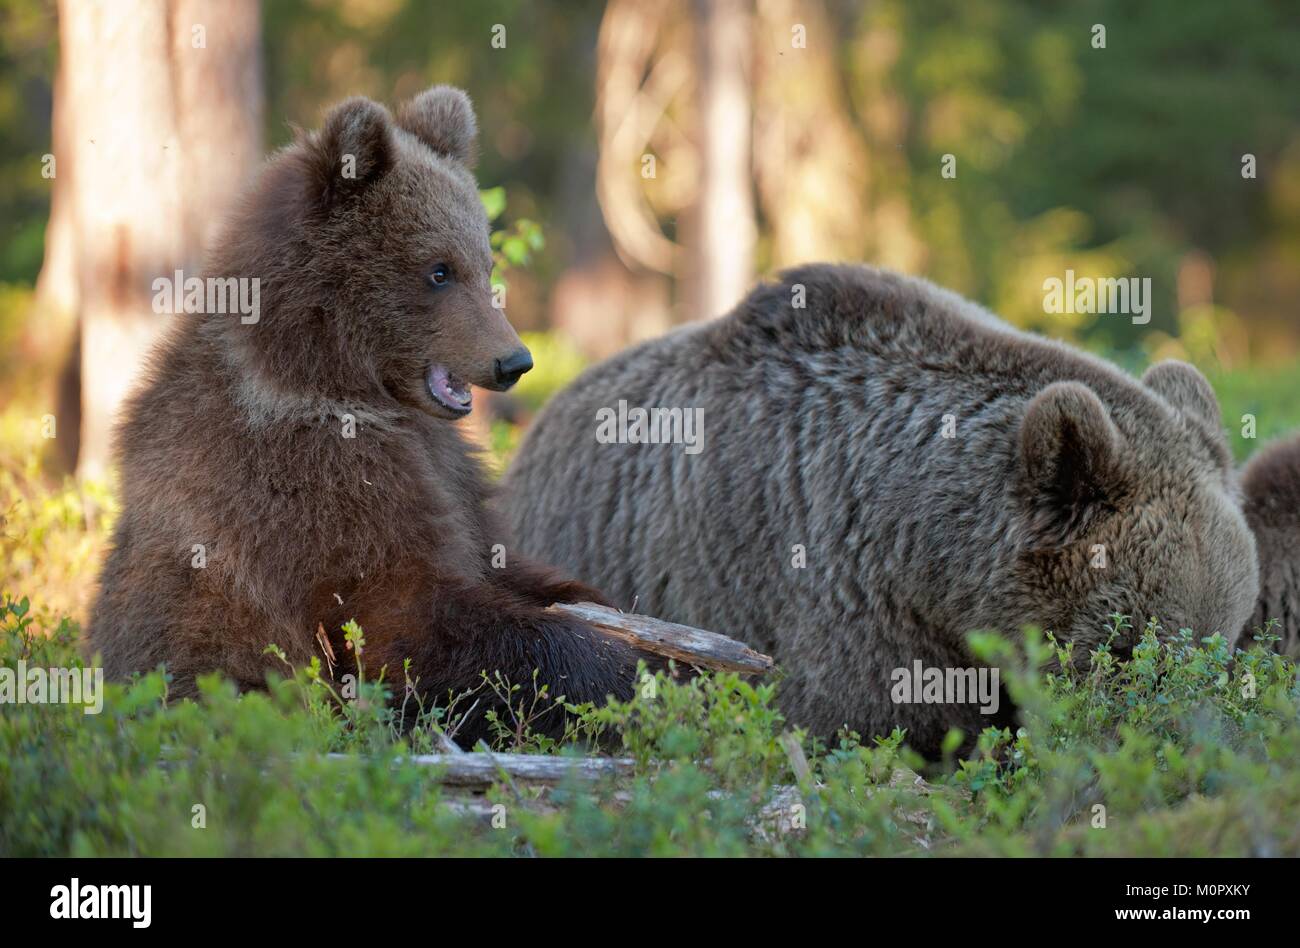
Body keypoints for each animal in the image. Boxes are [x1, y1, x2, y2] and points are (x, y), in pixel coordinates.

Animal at [87, 86, 648, 746]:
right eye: (439, 269)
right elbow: (404, 618)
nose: (514, 360)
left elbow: (505, 562)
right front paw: (625, 670)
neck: (342, 384)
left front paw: (624, 620)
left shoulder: (444, 469)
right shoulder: (309, 482)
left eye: (484, 262)